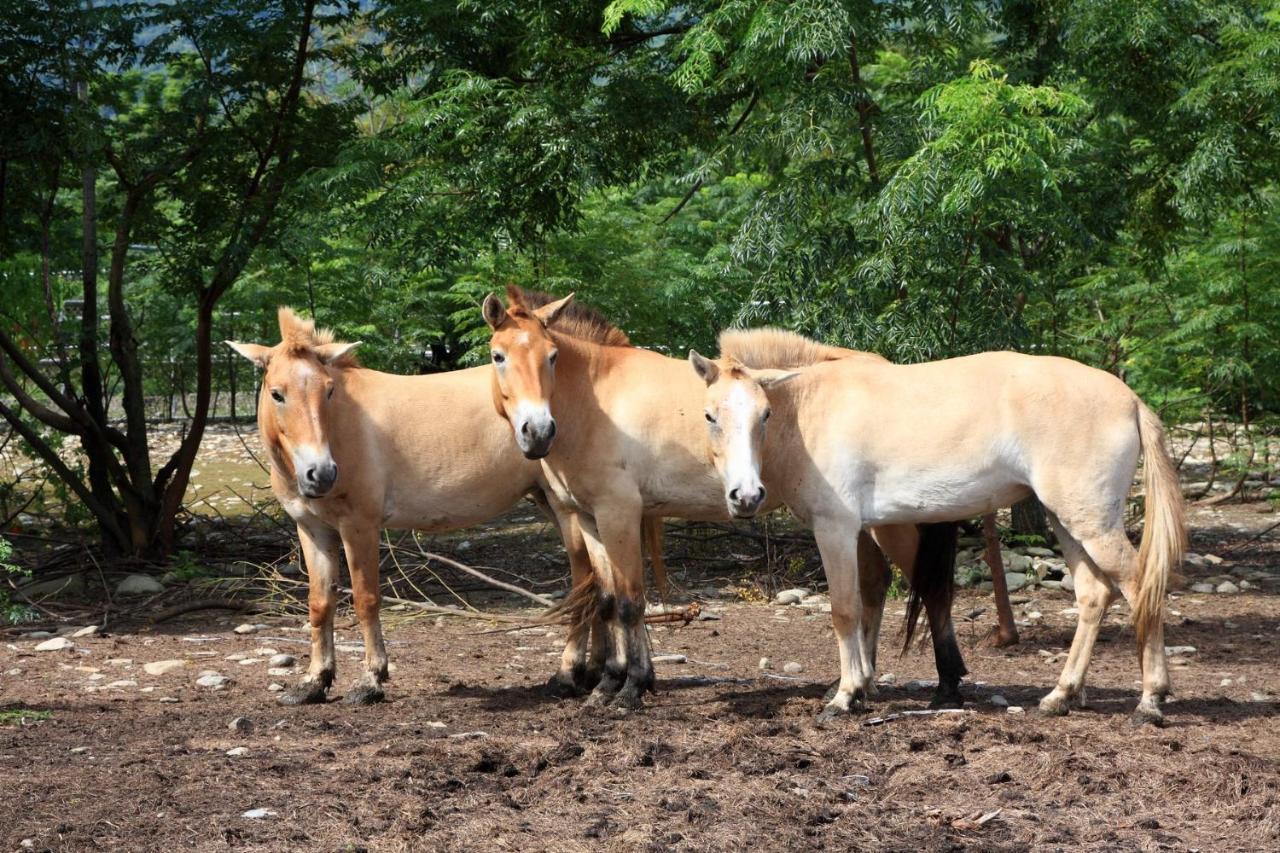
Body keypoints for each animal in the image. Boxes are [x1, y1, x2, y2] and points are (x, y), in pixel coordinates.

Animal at [229, 306, 665, 701]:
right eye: (277, 393)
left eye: (329, 390)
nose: (320, 473)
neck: (343, 427)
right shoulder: (313, 529)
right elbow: (320, 604)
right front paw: (314, 682)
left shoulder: (359, 526)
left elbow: (366, 599)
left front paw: (370, 680)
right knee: (597, 586)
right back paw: (594, 673)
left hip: (567, 510)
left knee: (584, 582)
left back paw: (571, 673)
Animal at [481, 285, 967, 712]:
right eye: (498, 356)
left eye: (552, 356)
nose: (537, 431)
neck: (597, 402)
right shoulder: (587, 518)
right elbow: (605, 600)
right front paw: (609, 684)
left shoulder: (619, 514)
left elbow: (630, 601)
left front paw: (631, 688)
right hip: (858, 525)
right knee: (874, 585)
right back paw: (856, 684)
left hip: (894, 522)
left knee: (929, 587)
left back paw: (946, 685)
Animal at [691, 327, 1187, 722]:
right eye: (710, 414)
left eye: (764, 414)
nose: (746, 497)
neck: (811, 406)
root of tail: (1130, 400)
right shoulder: (860, 532)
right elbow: (866, 602)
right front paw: (861, 689)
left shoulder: (835, 529)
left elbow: (845, 609)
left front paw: (844, 697)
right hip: (1068, 522)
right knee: (1094, 595)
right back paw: (1060, 696)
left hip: (1092, 524)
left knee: (1140, 587)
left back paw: (1150, 701)